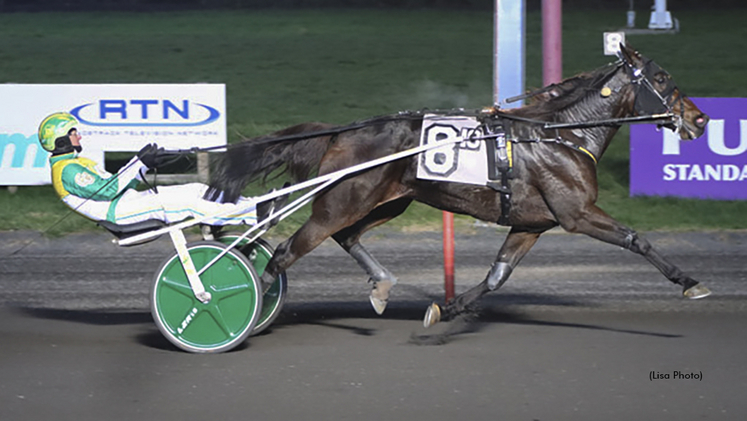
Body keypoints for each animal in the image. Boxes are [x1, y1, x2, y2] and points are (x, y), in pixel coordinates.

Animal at [207, 44, 712, 324]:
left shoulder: (531, 224)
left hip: (385, 203)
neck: (561, 133)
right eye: (662, 78)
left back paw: (381, 285)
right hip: (340, 202)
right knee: (284, 252)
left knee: (345, 237)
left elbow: (497, 276)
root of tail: (342, 131)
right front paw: (690, 282)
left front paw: (445, 310)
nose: (700, 119)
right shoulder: (577, 214)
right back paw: (245, 311)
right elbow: (635, 238)